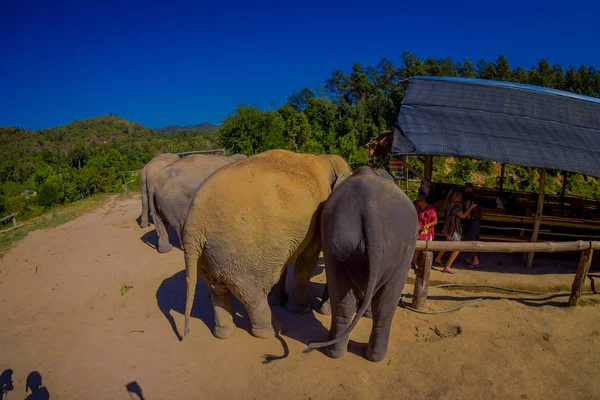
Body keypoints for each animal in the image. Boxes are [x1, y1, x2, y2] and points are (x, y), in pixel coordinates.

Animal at [180, 150, 350, 340]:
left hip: (207, 256)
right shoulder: (319, 214)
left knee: (216, 288)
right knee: (252, 295)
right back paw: (275, 330)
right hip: (240, 256)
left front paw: (278, 302)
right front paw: (300, 310)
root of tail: (194, 224)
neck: (325, 159)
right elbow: (308, 257)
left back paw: (223, 334)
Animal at [304, 166, 418, 362]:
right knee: (381, 305)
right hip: (351, 243)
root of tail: (372, 216)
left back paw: (346, 353)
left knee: (355, 302)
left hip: (345, 243)